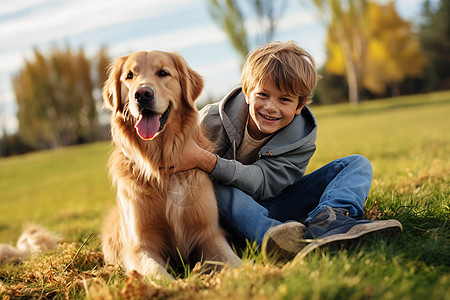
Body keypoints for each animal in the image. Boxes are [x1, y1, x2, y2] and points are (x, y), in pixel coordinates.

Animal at [102, 50, 243, 280]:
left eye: (163, 73)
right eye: (129, 76)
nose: (142, 94)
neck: (161, 161)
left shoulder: (209, 233)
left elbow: (235, 262)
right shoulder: (140, 246)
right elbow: (155, 272)